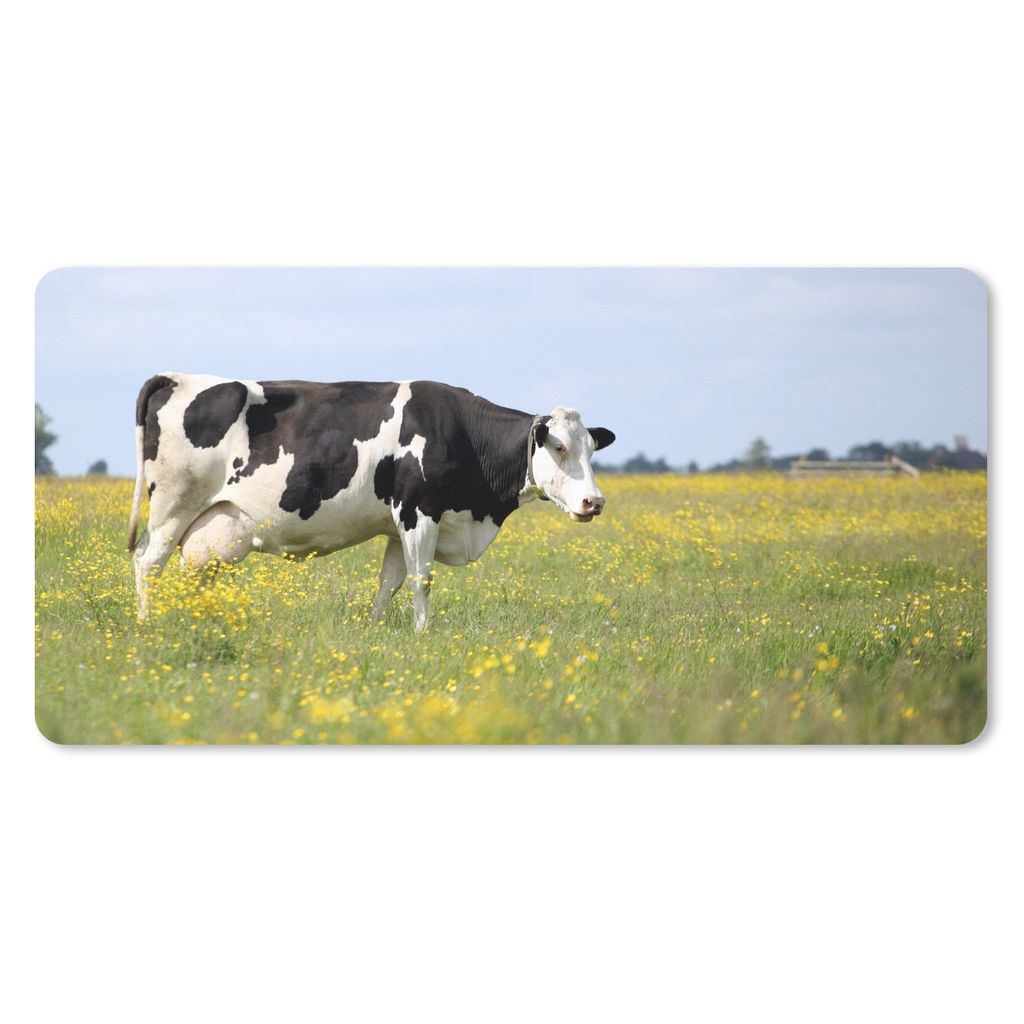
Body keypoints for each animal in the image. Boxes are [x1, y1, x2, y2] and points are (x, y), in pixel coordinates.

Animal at [128, 373, 615, 630]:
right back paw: (147, 625)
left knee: (197, 573)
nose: (594, 501)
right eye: (559, 448)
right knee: (148, 562)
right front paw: (423, 633)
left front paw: (377, 627)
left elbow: (390, 582)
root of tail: (176, 377)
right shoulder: (420, 511)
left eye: (592, 448)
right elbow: (422, 580)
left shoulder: (400, 523)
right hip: (173, 505)